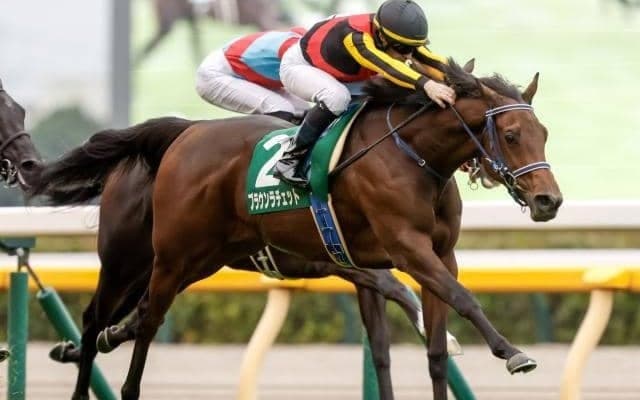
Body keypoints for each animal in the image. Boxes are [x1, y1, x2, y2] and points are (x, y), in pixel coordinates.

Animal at [31, 60, 562, 400]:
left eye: (544, 134)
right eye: (511, 135)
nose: (549, 201)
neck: (415, 158)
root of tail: (184, 135)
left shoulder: (428, 255)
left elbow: (426, 347)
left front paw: (450, 345)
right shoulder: (402, 250)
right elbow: (462, 299)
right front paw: (512, 352)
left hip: (194, 260)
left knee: (135, 315)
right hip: (145, 258)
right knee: (115, 319)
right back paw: (106, 371)